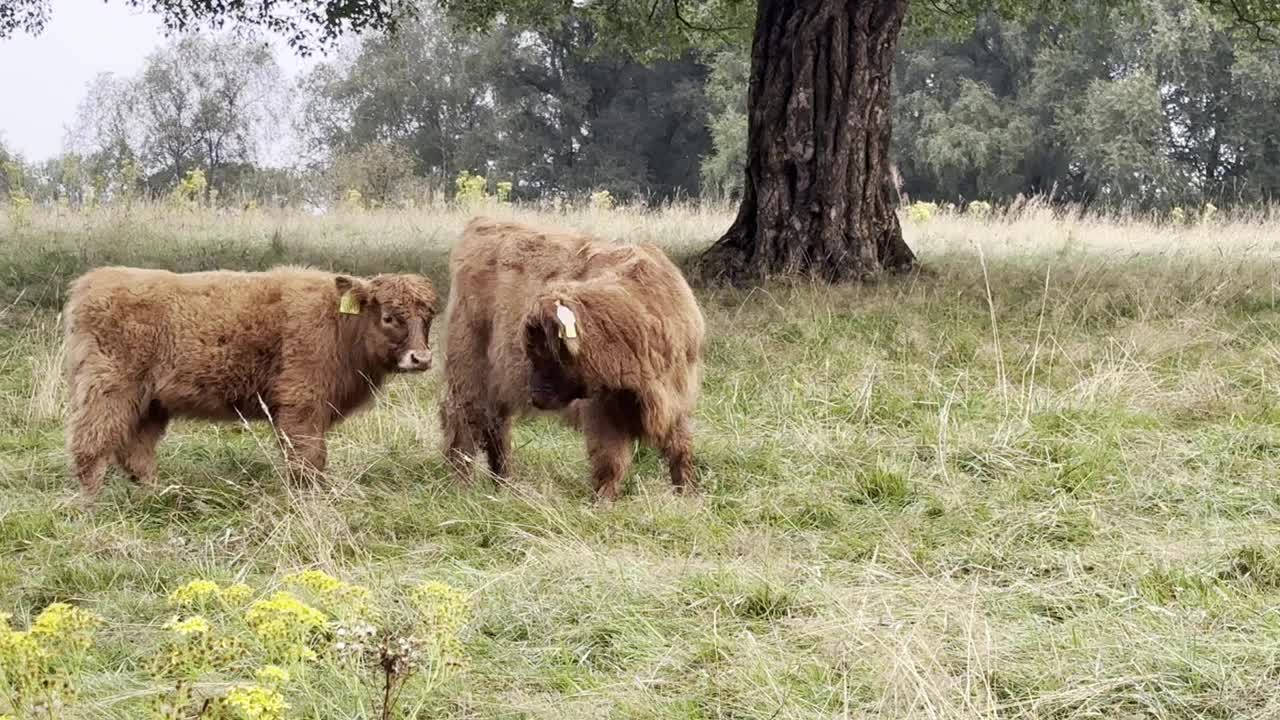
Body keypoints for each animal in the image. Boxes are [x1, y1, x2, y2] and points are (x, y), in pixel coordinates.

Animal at [61, 266, 440, 497]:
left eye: (429, 317)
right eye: (389, 316)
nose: (421, 359)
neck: (340, 325)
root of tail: (93, 281)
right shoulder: (301, 404)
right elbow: (309, 459)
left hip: (150, 403)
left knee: (137, 453)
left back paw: (158, 495)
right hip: (108, 390)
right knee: (90, 446)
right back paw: (92, 506)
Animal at [437, 217, 701, 499]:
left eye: (548, 351)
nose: (535, 395)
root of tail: (485, 222)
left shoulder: (678, 400)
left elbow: (681, 450)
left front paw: (687, 496)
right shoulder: (601, 412)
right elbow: (611, 463)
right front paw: (602, 502)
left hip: (498, 382)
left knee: (496, 425)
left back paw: (504, 485)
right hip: (467, 369)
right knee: (464, 422)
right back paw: (461, 487)